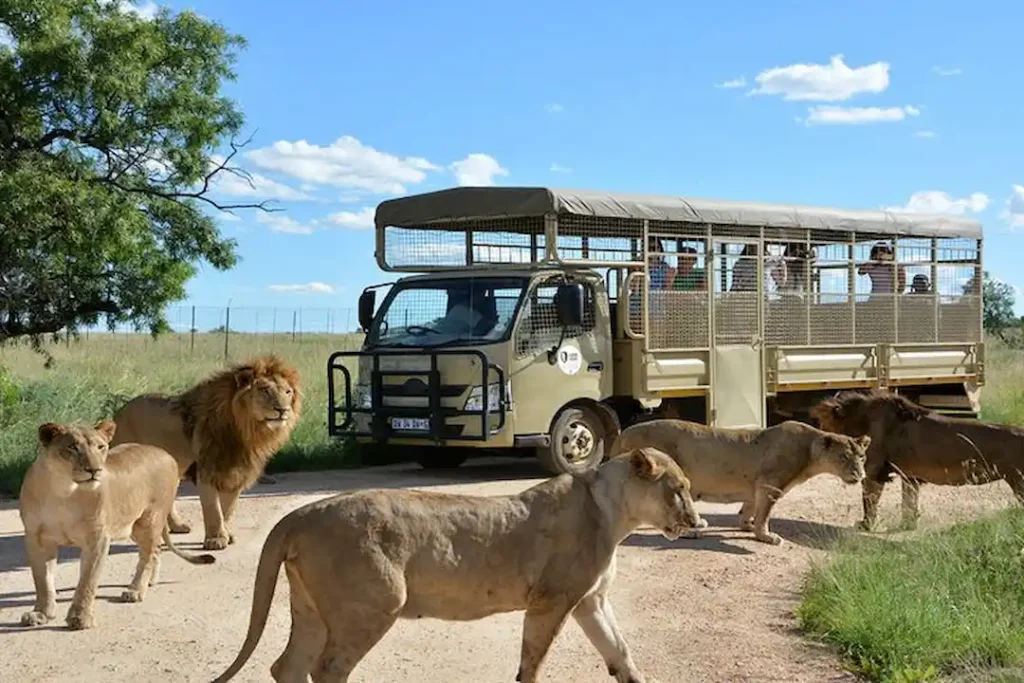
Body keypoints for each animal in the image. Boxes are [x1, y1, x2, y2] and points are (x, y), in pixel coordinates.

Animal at [18, 420, 215, 630]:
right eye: (72, 447)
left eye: (100, 447)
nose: (94, 470)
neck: (63, 490)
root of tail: (164, 453)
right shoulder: (37, 538)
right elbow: (42, 580)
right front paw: (41, 614)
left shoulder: (97, 538)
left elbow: (87, 581)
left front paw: (80, 618)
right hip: (134, 527)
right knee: (156, 550)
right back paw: (150, 582)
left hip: (148, 521)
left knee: (148, 555)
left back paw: (136, 591)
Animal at [110, 355, 301, 551]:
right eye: (265, 390)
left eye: (288, 392)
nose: (283, 410)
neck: (247, 431)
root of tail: (119, 412)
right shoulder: (207, 469)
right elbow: (213, 509)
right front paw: (216, 540)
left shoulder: (236, 472)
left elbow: (227, 509)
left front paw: (227, 535)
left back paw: (177, 526)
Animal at [209, 447, 700, 683]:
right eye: (678, 489)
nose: (696, 521)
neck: (614, 513)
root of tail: (298, 515)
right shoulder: (552, 600)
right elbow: (532, 662)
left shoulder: (590, 600)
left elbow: (619, 651)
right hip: (373, 604)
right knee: (326, 670)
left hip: (311, 608)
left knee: (287, 667)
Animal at [609, 418, 870, 545]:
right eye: (844, 457)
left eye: (862, 457)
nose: (860, 475)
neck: (810, 451)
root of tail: (623, 433)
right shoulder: (770, 484)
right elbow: (765, 514)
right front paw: (766, 536)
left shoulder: (757, 485)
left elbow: (750, 508)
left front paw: (747, 525)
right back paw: (691, 531)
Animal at [811, 389, 1024, 531]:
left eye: (822, 423)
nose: (817, 438)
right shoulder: (910, 476)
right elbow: (909, 503)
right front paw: (907, 525)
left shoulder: (873, 473)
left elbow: (869, 502)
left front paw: (865, 526)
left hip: (1019, 483)